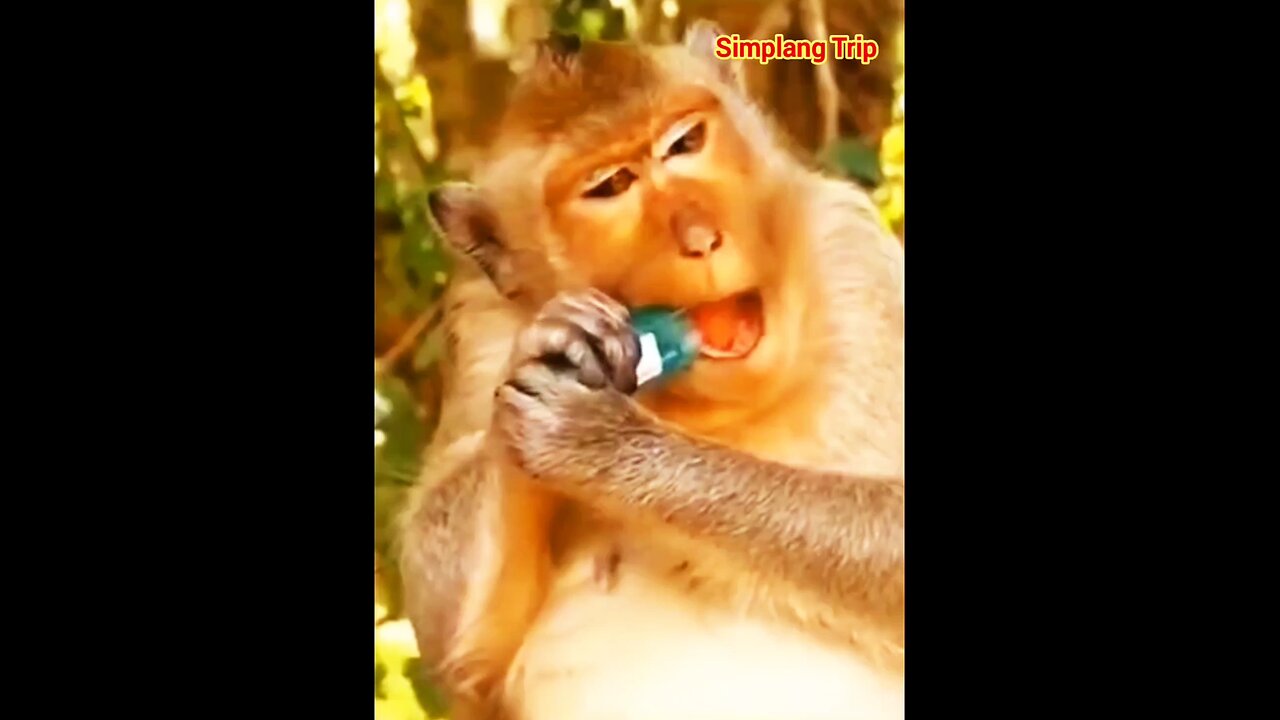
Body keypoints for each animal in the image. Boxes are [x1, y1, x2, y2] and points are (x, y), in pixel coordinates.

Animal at [397, 21, 904, 720]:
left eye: (685, 143)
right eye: (610, 185)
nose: (700, 237)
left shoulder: (851, 256)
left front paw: (605, 445)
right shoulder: (479, 325)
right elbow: (449, 639)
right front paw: (559, 342)